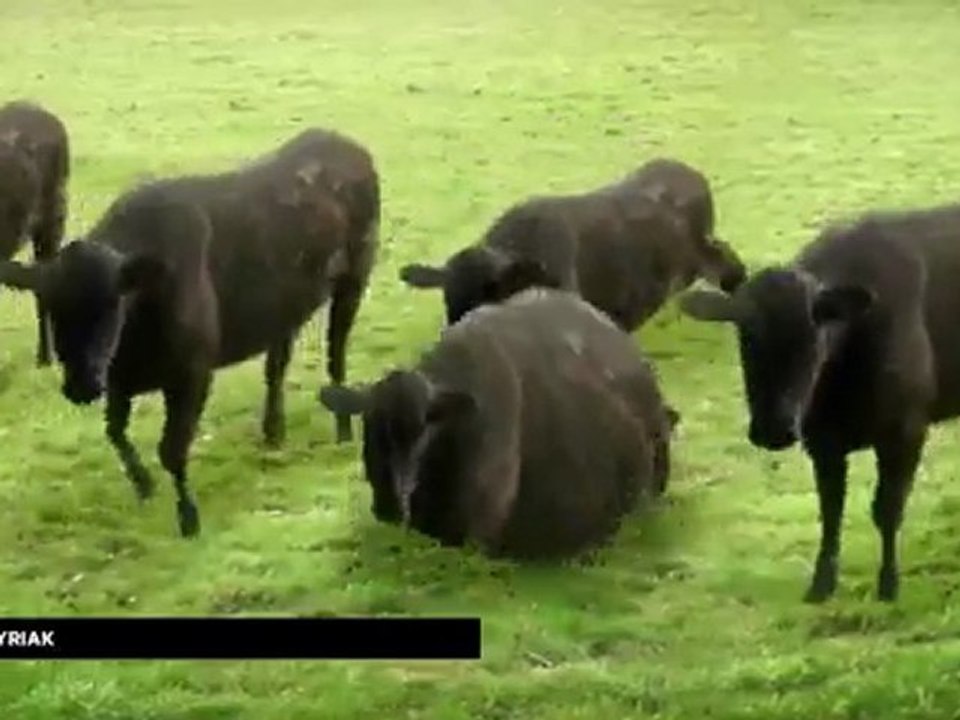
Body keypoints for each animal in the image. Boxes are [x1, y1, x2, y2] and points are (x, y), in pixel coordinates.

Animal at [0, 128, 379, 537]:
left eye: (112, 306)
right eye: (53, 309)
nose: (81, 386)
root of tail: (343, 143)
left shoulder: (192, 373)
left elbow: (171, 449)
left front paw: (188, 517)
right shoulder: (119, 380)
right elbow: (115, 431)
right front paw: (144, 485)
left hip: (354, 280)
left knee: (336, 355)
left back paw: (342, 432)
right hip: (284, 308)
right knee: (277, 365)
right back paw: (273, 431)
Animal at [678, 203, 960, 602]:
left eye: (812, 341)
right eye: (744, 338)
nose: (773, 430)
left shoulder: (905, 428)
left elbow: (886, 509)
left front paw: (888, 584)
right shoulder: (821, 441)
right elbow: (830, 510)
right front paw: (821, 584)